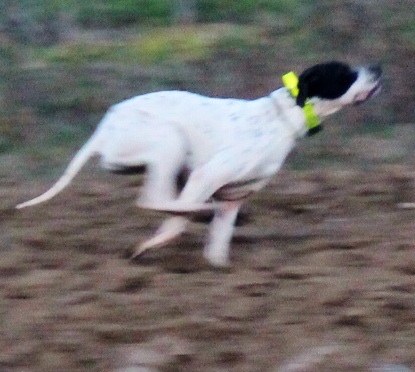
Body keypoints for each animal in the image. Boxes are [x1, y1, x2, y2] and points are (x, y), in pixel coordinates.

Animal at [18, 61, 384, 266]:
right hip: (169, 142)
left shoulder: (232, 199)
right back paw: (193, 213)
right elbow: (174, 224)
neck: (282, 118)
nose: (377, 68)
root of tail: (103, 129)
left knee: (165, 202)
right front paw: (147, 246)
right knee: (154, 201)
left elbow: (217, 249)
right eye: (344, 73)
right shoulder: (206, 176)